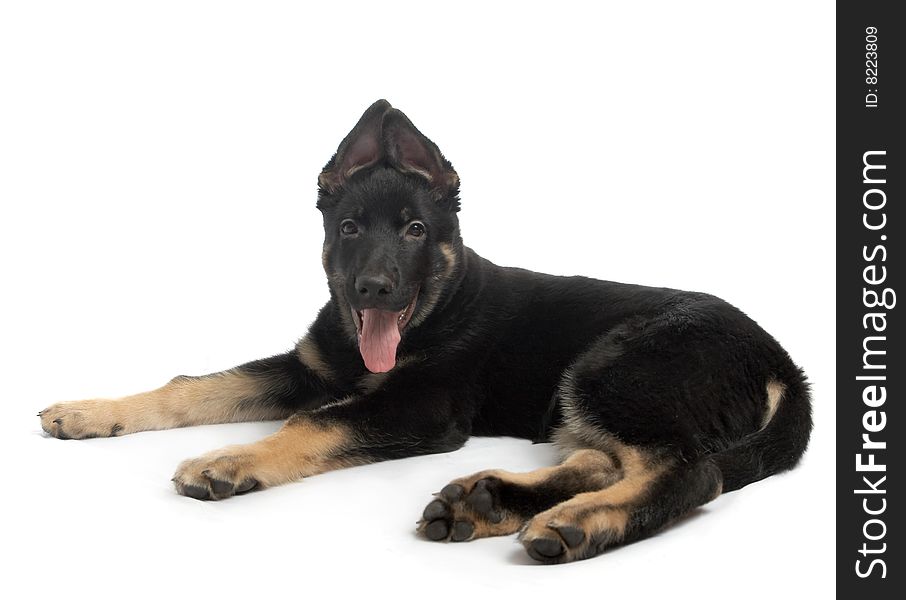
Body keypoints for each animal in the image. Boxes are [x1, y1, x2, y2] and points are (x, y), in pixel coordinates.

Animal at [37, 99, 812, 564]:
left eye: (415, 231)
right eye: (350, 228)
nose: (374, 289)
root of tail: (782, 362)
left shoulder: (422, 407)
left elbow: (315, 423)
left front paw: (230, 460)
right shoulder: (308, 368)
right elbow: (194, 386)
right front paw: (90, 412)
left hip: (612, 367)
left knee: (691, 468)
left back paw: (577, 523)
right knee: (610, 458)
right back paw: (487, 501)